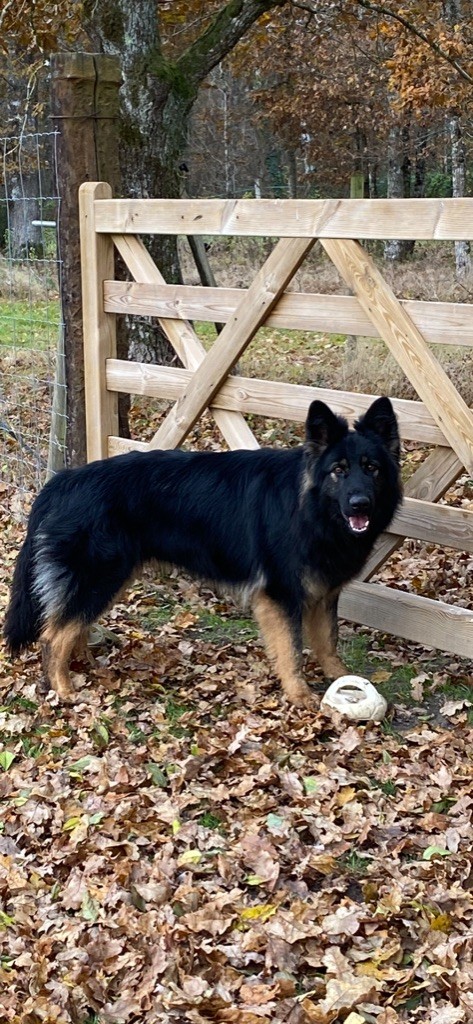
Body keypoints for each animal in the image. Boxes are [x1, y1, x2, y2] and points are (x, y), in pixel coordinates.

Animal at [4, 397, 401, 706]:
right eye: (339, 470)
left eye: (372, 469)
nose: (360, 505)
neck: (308, 506)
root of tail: (63, 481)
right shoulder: (282, 594)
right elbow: (291, 649)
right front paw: (300, 694)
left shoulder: (323, 592)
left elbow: (328, 641)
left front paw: (340, 676)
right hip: (100, 577)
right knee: (53, 635)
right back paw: (65, 689)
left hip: (109, 580)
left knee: (72, 625)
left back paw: (82, 664)